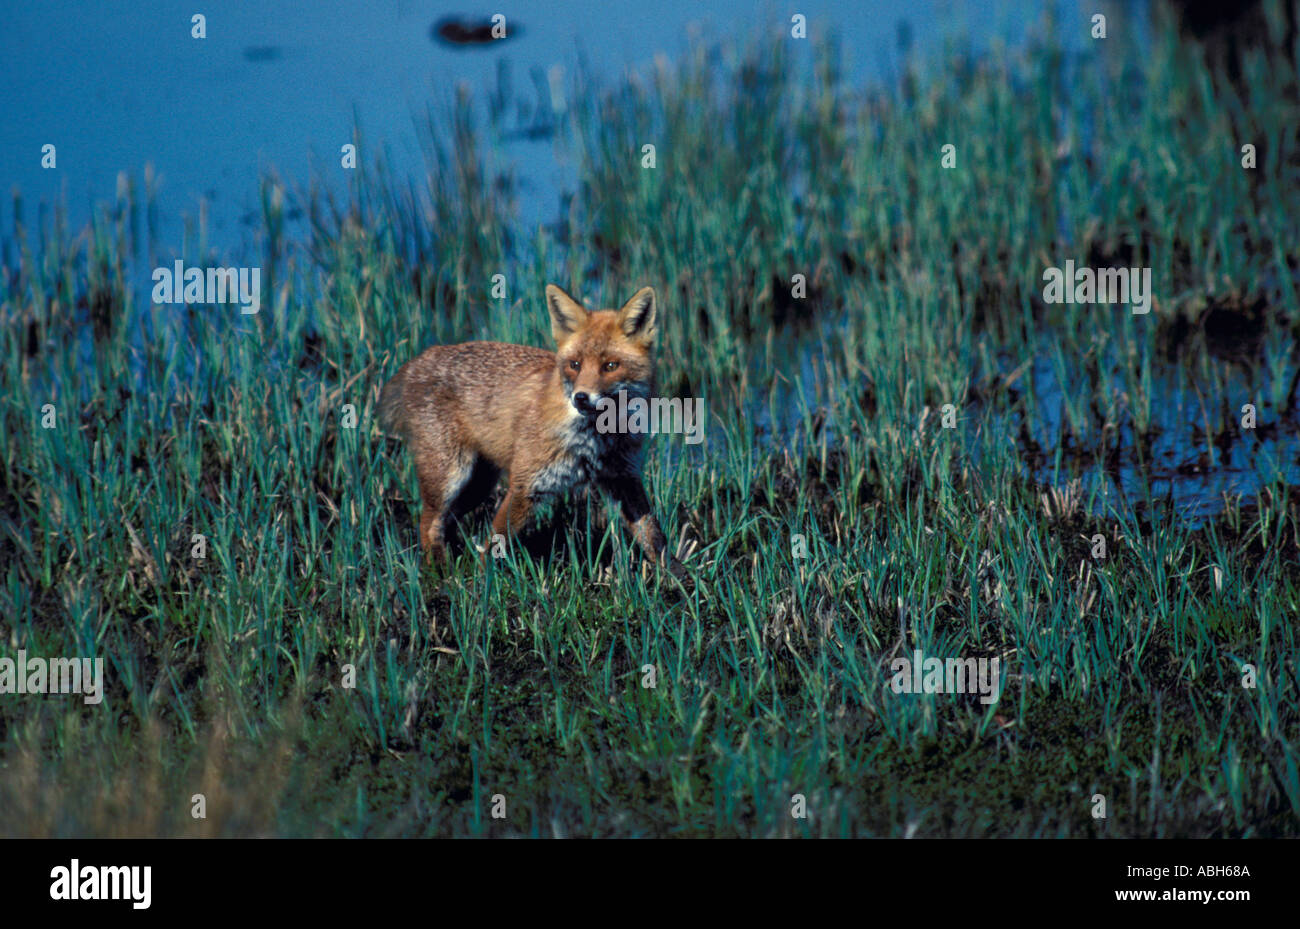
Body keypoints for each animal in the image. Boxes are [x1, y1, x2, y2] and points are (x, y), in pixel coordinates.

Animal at [378, 283, 681, 575]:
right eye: (575, 365)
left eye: (610, 366)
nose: (581, 398)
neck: (594, 441)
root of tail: (422, 358)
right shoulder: (525, 486)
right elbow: (495, 545)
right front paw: (483, 584)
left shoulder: (624, 478)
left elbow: (655, 537)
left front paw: (678, 579)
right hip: (450, 476)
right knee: (428, 523)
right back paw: (439, 574)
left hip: (478, 485)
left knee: (445, 521)